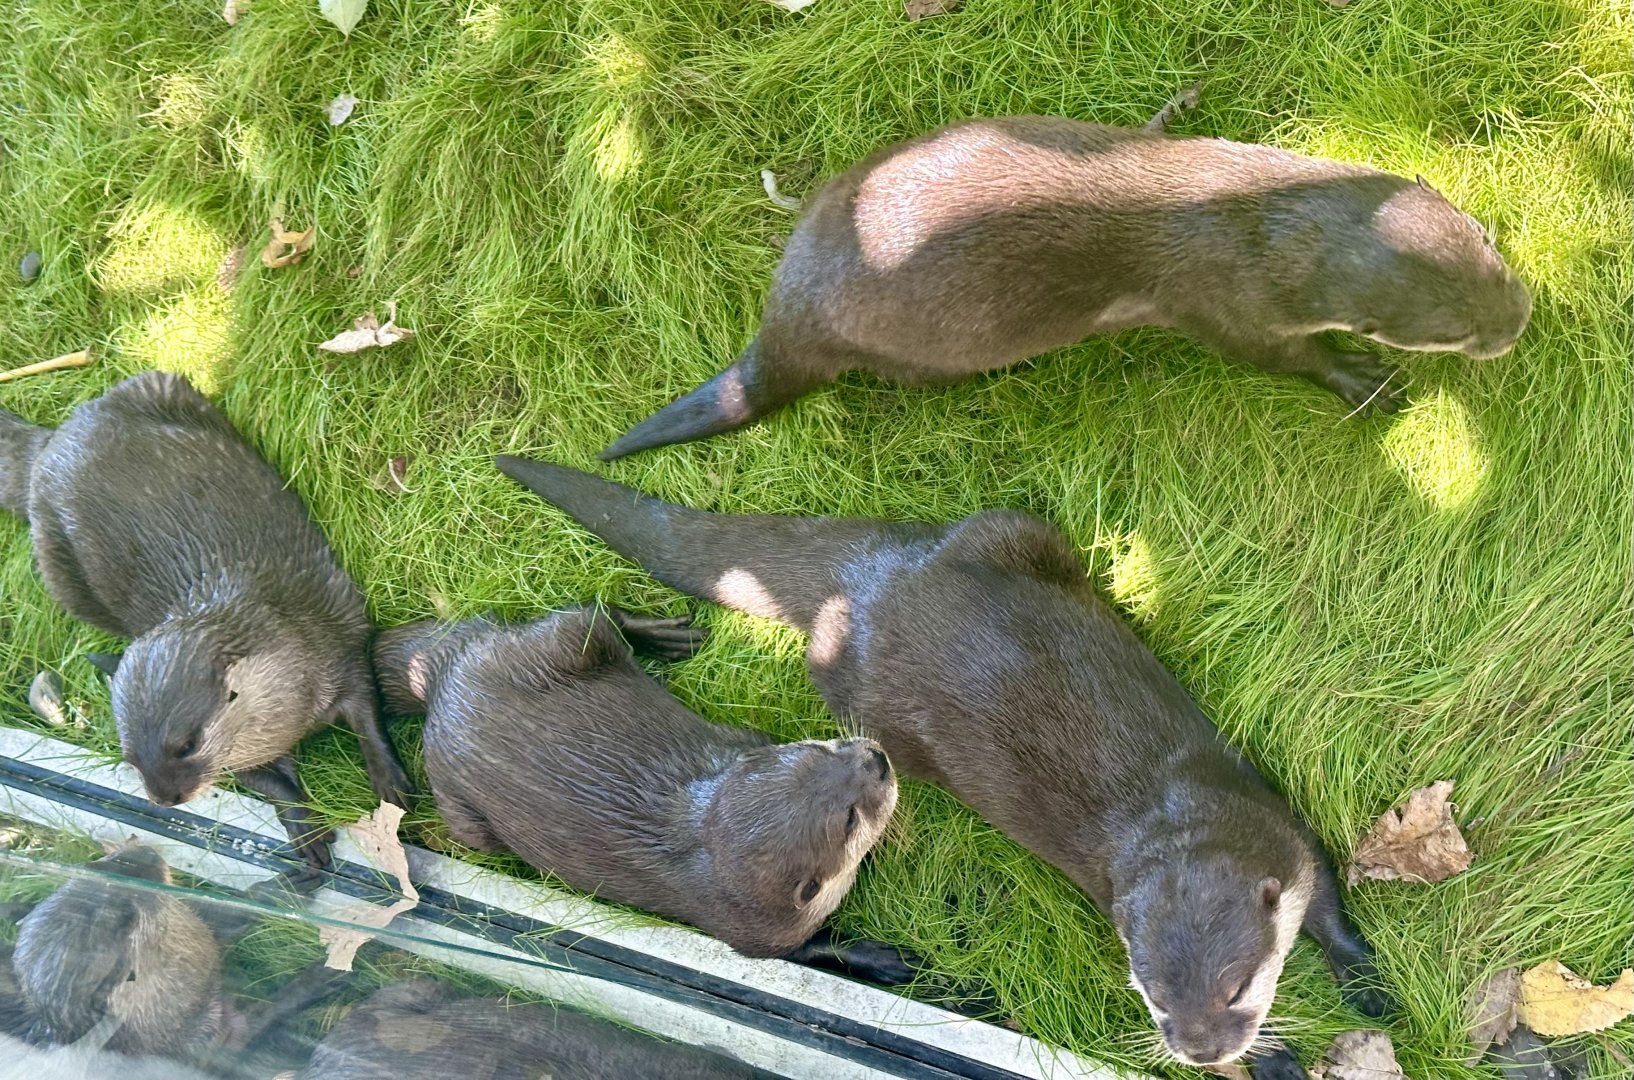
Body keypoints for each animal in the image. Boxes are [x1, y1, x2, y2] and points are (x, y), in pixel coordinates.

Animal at [0, 372, 412, 865]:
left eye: (186, 745)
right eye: (130, 760)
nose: (165, 798)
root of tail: (53, 443)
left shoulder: (340, 639)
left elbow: (369, 711)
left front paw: (391, 783)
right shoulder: (238, 756)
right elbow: (266, 782)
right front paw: (302, 824)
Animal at [373, 604, 911, 982]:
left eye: (821, 747)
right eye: (849, 816)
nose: (876, 759)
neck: (704, 860)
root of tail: (445, 676)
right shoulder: (751, 934)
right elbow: (808, 951)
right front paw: (886, 959)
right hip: (473, 803)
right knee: (587, 614)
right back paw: (656, 633)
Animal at [496, 459, 1394, 1078]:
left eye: (1237, 987)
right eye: (1153, 996)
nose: (1201, 1050)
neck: (1183, 818)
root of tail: (866, 579)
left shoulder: (1281, 826)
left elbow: (1333, 908)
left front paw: (1368, 986)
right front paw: (1273, 1059)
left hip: (1008, 529)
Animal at [601, 115, 1531, 459]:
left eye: (1489, 248)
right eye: (1448, 332)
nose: (1517, 319)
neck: (1246, 214)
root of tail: (786, 315)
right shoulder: (1225, 302)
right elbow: (1276, 357)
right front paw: (1354, 378)